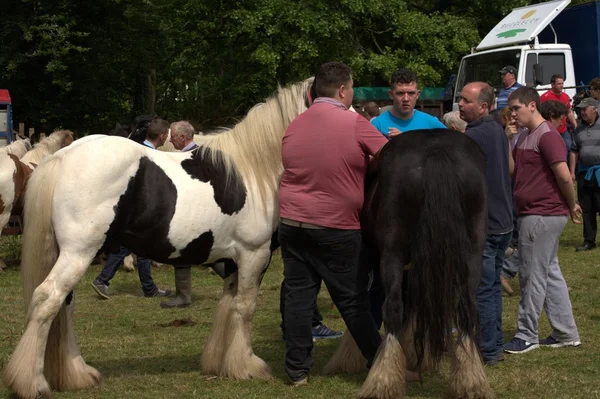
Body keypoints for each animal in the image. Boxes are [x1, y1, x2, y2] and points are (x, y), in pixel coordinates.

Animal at [3, 78, 314, 399]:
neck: (254, 168)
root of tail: (63, 157)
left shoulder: (232, 261)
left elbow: (227, 306)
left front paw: (221, 363)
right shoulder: (255, 255)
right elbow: (245, 307)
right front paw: (247, 366)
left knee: (65, 305)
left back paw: (76, 374)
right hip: (78, 253)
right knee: (47, 299)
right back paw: (34, 383)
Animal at [358, 130, 494, 399]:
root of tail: (436, 149)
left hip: (392, 252)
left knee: (393, 308)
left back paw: (383, 382)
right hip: (473, 253)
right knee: (466, 309)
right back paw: (470, 381)